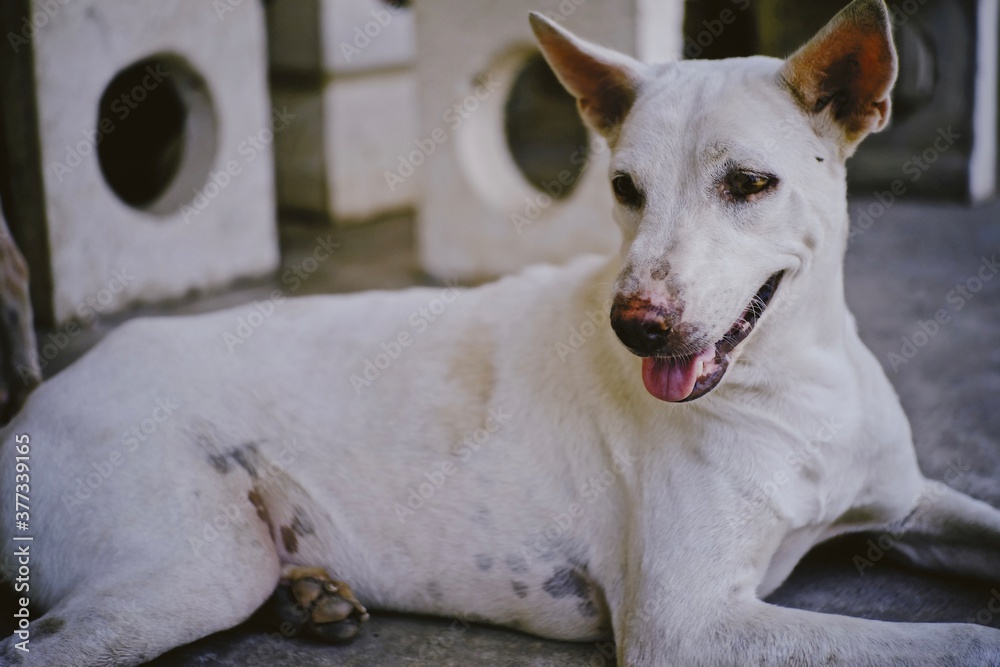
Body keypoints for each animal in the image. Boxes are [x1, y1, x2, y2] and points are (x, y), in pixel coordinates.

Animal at [1, 1, 1000, 667]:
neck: (796, 376)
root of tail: (38, 399)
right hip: (195, 565)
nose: (635, 327)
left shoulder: (910, 500)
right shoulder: (689, 625)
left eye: (750, 184)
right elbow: (954, 638)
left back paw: (311, 597)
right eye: (624, 188)